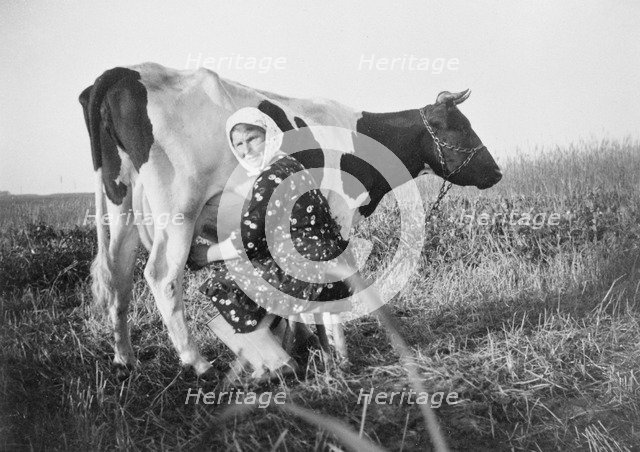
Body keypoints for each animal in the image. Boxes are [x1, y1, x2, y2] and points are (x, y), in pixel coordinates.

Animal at [79, 62, 501, 379]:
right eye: (462, 127)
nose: (496, 172)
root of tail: (122, 72)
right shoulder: (338, 210)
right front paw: (338, 352)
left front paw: (302, 341)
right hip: (178, 210)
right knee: (162, 276)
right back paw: (196, 362)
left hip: (121, 204)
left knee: (118, 274)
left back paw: (124, 358)